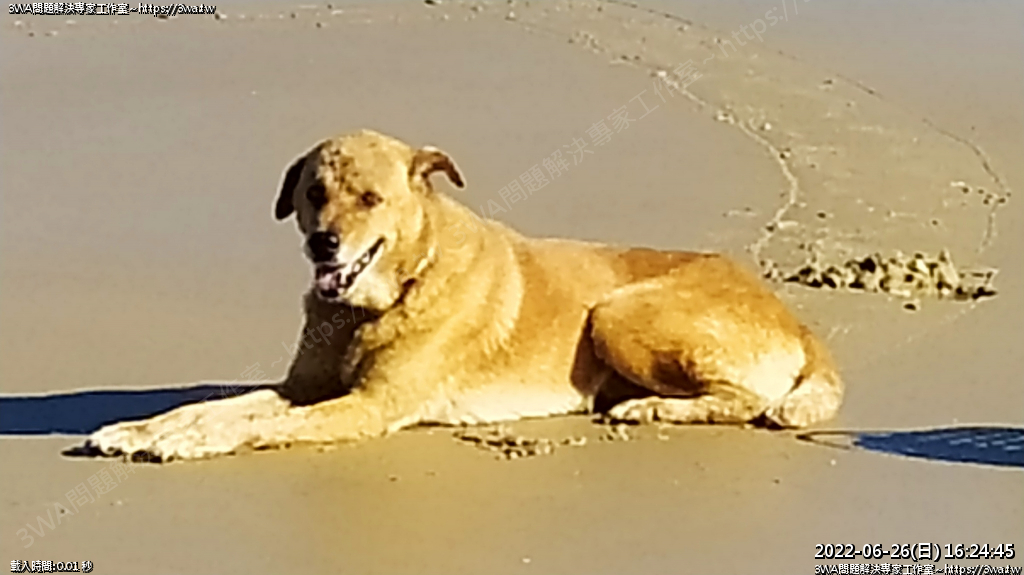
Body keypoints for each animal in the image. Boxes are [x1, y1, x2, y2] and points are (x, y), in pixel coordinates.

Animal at [84, 129, 843, 462]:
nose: (324, 244)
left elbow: (252, 425)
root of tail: (800, 324)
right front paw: (143, 429)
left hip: (616, 312)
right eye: (313, 193)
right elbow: (207, 407)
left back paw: (649, 407)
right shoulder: (303, 387)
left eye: (370, 199)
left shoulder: (367, 406)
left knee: (749, 402)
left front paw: (190, 443)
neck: (386, 296)